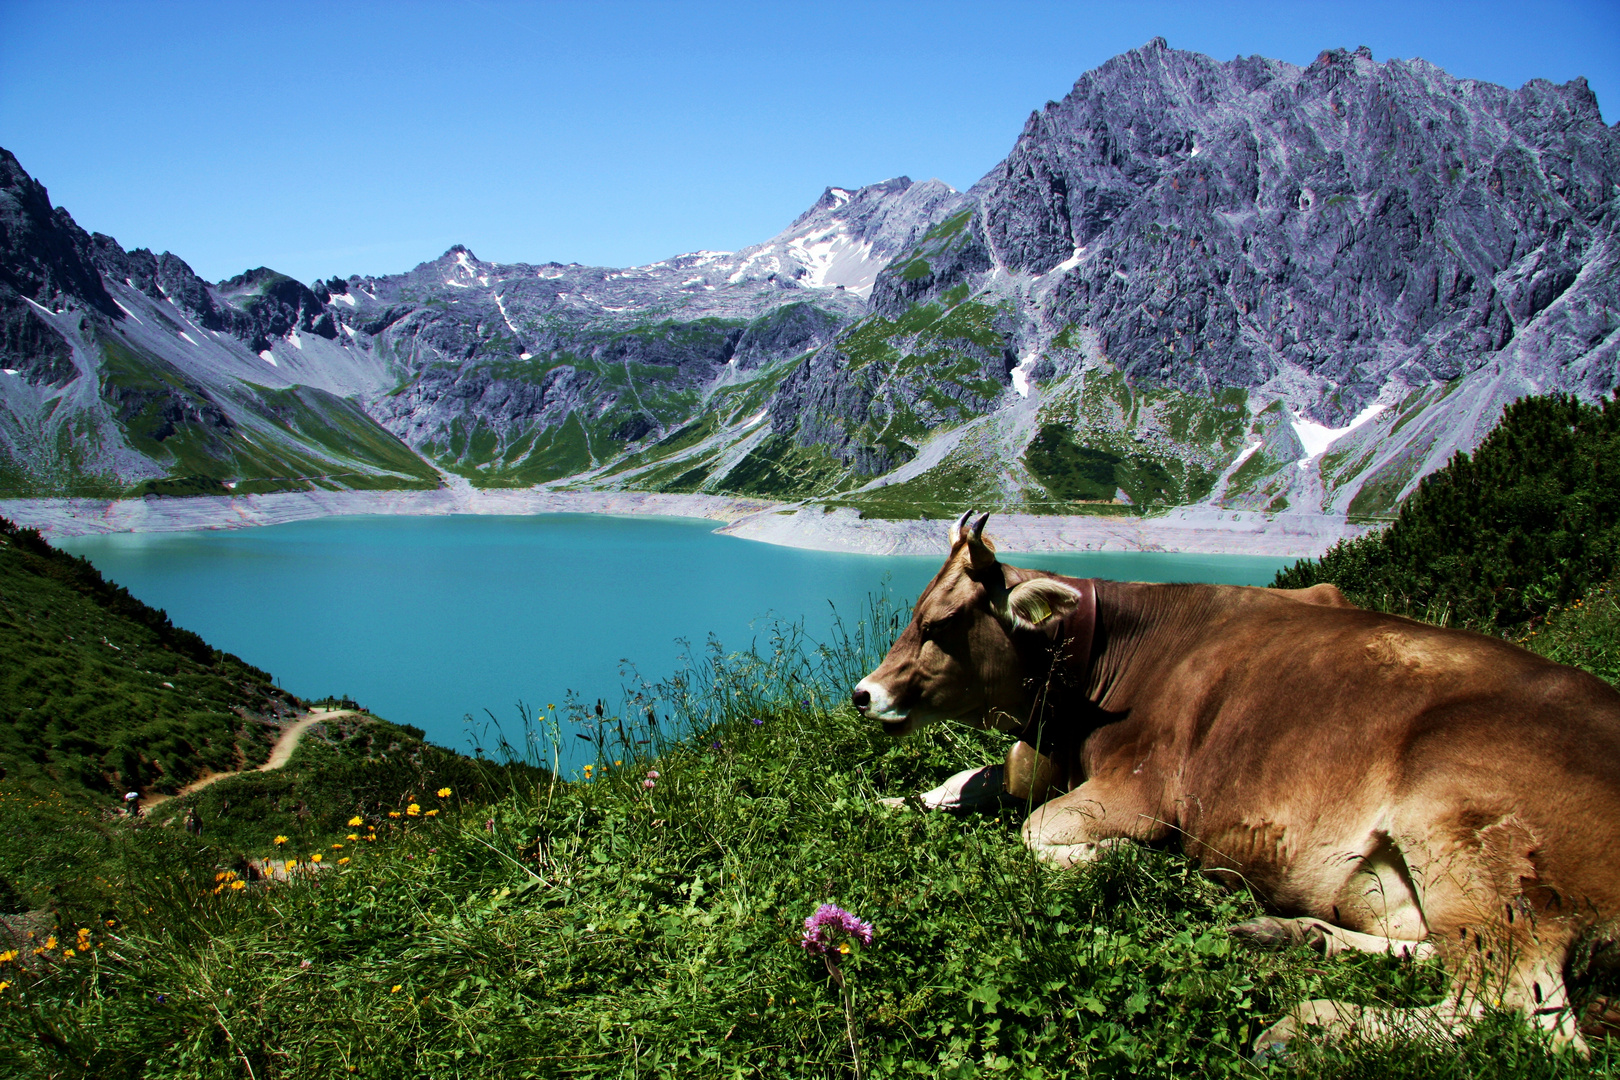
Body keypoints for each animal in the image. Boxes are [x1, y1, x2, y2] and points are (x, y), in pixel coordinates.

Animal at [855, 511, 1620, 1049]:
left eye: (940, 622)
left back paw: (1308, 1023)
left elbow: (1036, 831)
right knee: (1438, 958)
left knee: (1517, 1016)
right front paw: (894, 799)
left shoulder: (1142, 790)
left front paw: (1123, 858)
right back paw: (1293, 933)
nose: (863, 694)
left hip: (1475, 844)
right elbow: (968, 780)